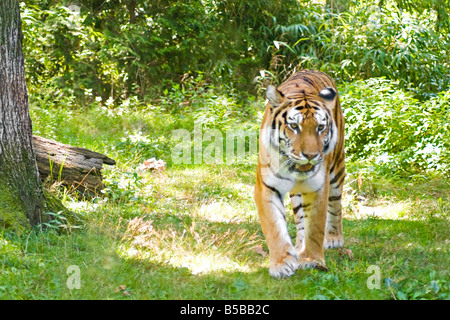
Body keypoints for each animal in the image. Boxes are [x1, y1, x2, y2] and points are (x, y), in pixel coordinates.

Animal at [255, 69, 346, 278]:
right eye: (294, 126)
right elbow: (275, 227)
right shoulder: (266, 187)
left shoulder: (319, 187)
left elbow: (316, 226)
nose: (311, 155)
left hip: (337, 169)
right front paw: (281, 263)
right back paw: (298, 247)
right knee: (300, 218)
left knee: (335, 204)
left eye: (320, 127)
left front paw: (312, 260)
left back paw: (333, 238)